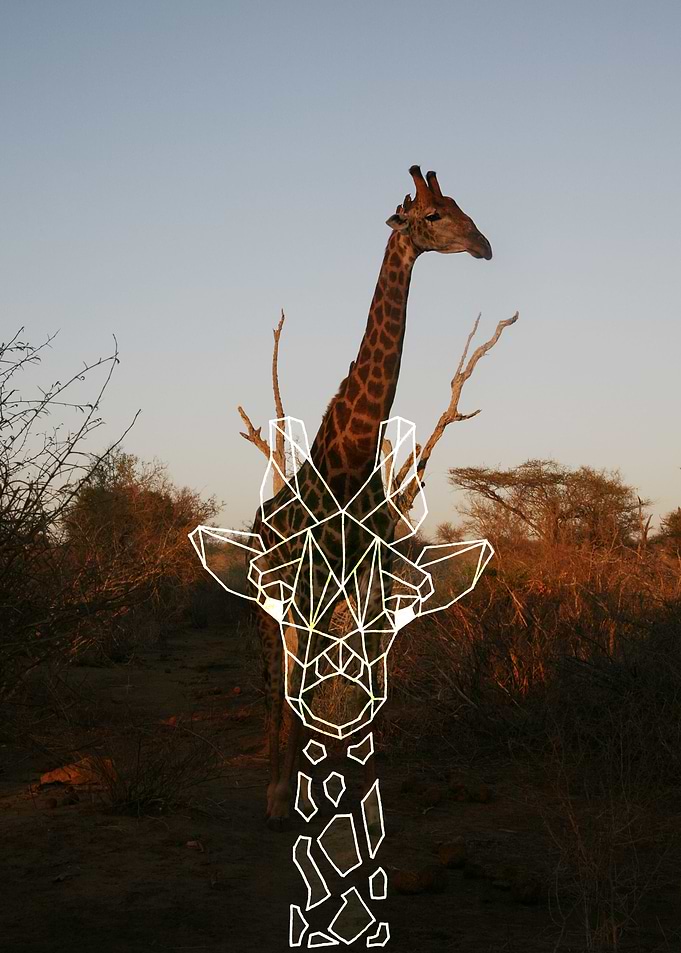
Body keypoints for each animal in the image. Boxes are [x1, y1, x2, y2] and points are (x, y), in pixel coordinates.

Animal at [251, 165, 493, 830]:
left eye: (459, 205)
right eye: (432, 215)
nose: (484, 245)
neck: (353, 453)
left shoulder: (370, 572)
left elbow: (368, 673)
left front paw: (354, 780)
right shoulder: (311, 579)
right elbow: (301, 682)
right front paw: (286, 794)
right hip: (275, 595)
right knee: (275, 676)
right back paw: (275, 785)